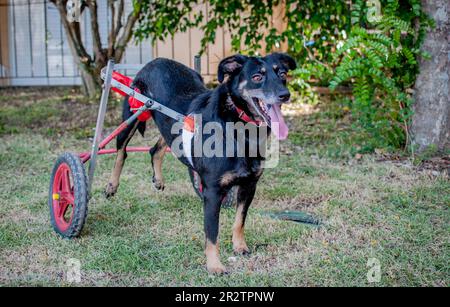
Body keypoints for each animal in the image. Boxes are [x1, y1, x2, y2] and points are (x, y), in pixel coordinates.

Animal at [104, 53, 296, 274]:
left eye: (282, 74)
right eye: (257, 77)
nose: (285, 95)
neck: (239, 127)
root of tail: (156, 61)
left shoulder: (249, 185)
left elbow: (239, 220)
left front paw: (239, 246)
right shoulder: (212, 193)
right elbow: (212, 234)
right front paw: (214, 266)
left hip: (170, 126)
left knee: (156, 149)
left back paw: (158, 179)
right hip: (132, 115)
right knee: (121, 152)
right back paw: (112, 185)